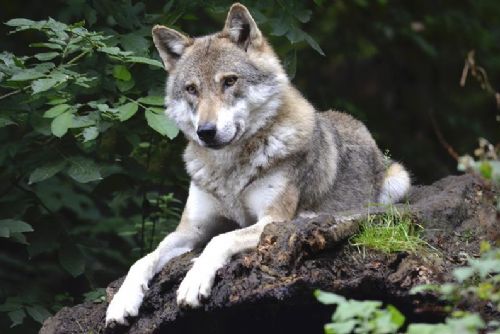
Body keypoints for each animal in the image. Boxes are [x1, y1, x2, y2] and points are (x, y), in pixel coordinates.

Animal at [105, 2, 410, 326]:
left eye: (229, 81)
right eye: (191, 89)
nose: (206, 131)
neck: (229, 170)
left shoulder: (270, 220)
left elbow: (220, 240)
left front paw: (193, 281)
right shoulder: (189, 230)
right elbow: (143, 259)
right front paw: (122, 301)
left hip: (398, 180)